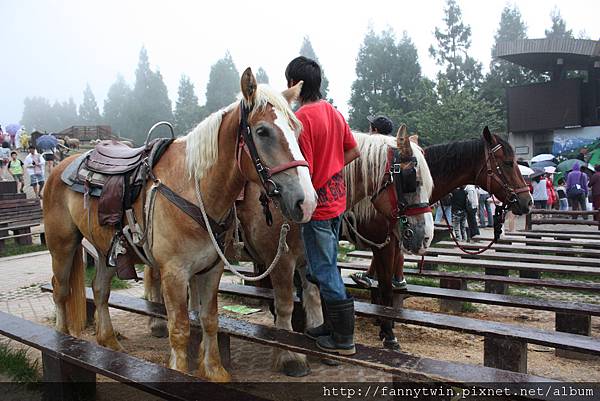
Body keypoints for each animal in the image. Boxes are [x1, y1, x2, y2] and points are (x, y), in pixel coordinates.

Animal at [44, 69, 316, 382]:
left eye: (297, 130)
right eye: (262, 132)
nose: (306, 201)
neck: (193, 191)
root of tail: (62, 165)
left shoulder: (211, 270)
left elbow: (209, 320)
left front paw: (214, 371)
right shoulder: (174, 274)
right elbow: (180, 327)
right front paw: (180, 371)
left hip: (105, 251)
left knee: (100, 290)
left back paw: (109, 342)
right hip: (62, 245)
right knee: (61, 289)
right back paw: (62, 338)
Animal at [173, 124, 432, 376]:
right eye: (412, 180)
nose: (426, 237)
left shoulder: (309, 258)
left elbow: (314, 298)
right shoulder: (281, 260)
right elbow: (286, 305)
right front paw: (291, 356)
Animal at [350, 126, 532, 346]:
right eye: (507, 163)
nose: (527, 201)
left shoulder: (391, 241)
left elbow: (387, 284)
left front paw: (385, 324)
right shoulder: (382, 243)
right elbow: (384, 287)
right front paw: (388, 332)